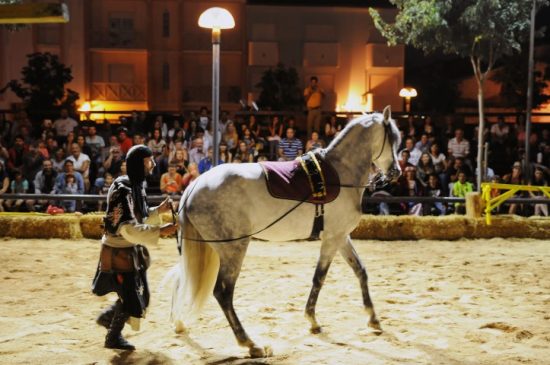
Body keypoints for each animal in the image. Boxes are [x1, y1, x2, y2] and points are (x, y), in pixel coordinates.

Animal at [170, 105, 404, 356]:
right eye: (392, 139)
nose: (396, 172)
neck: (340, 174)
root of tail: (194, 186)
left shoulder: (341, 237)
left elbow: (360, 271)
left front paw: (373, 318)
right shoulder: (332, 239)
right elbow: (319, 277)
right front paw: (312, 320)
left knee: (183, 279)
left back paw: (180, 323)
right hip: (234, 249)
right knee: (223, 293)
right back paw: (249, 343)